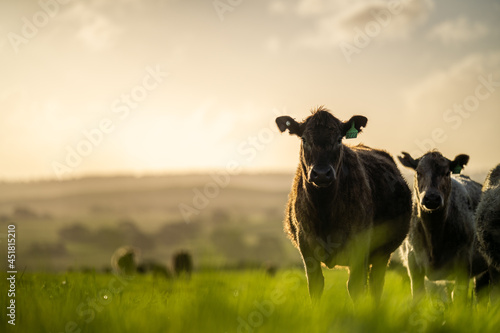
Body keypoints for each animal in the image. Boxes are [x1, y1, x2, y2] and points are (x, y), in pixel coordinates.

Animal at [276, 107, 412, 300]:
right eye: (304, 139)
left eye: (339, 140)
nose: (321, 173)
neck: (324, 208)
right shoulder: (307, 250)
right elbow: (315, 287)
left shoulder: (359, 247)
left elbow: (355, 288)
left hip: (382, 254)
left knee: (375, 286)